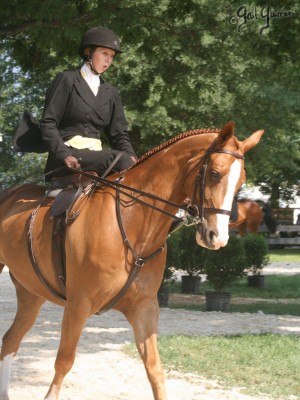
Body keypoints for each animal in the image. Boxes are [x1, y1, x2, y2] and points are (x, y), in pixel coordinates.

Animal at [0, 122, 262, 400]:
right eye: (214, 173)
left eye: (241, 181)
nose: (217, 237)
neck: (133, 222)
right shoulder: (78, 304)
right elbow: (64, 362)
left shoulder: (144, 307)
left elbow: (155, 369)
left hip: (30, 293)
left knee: (10, 340)